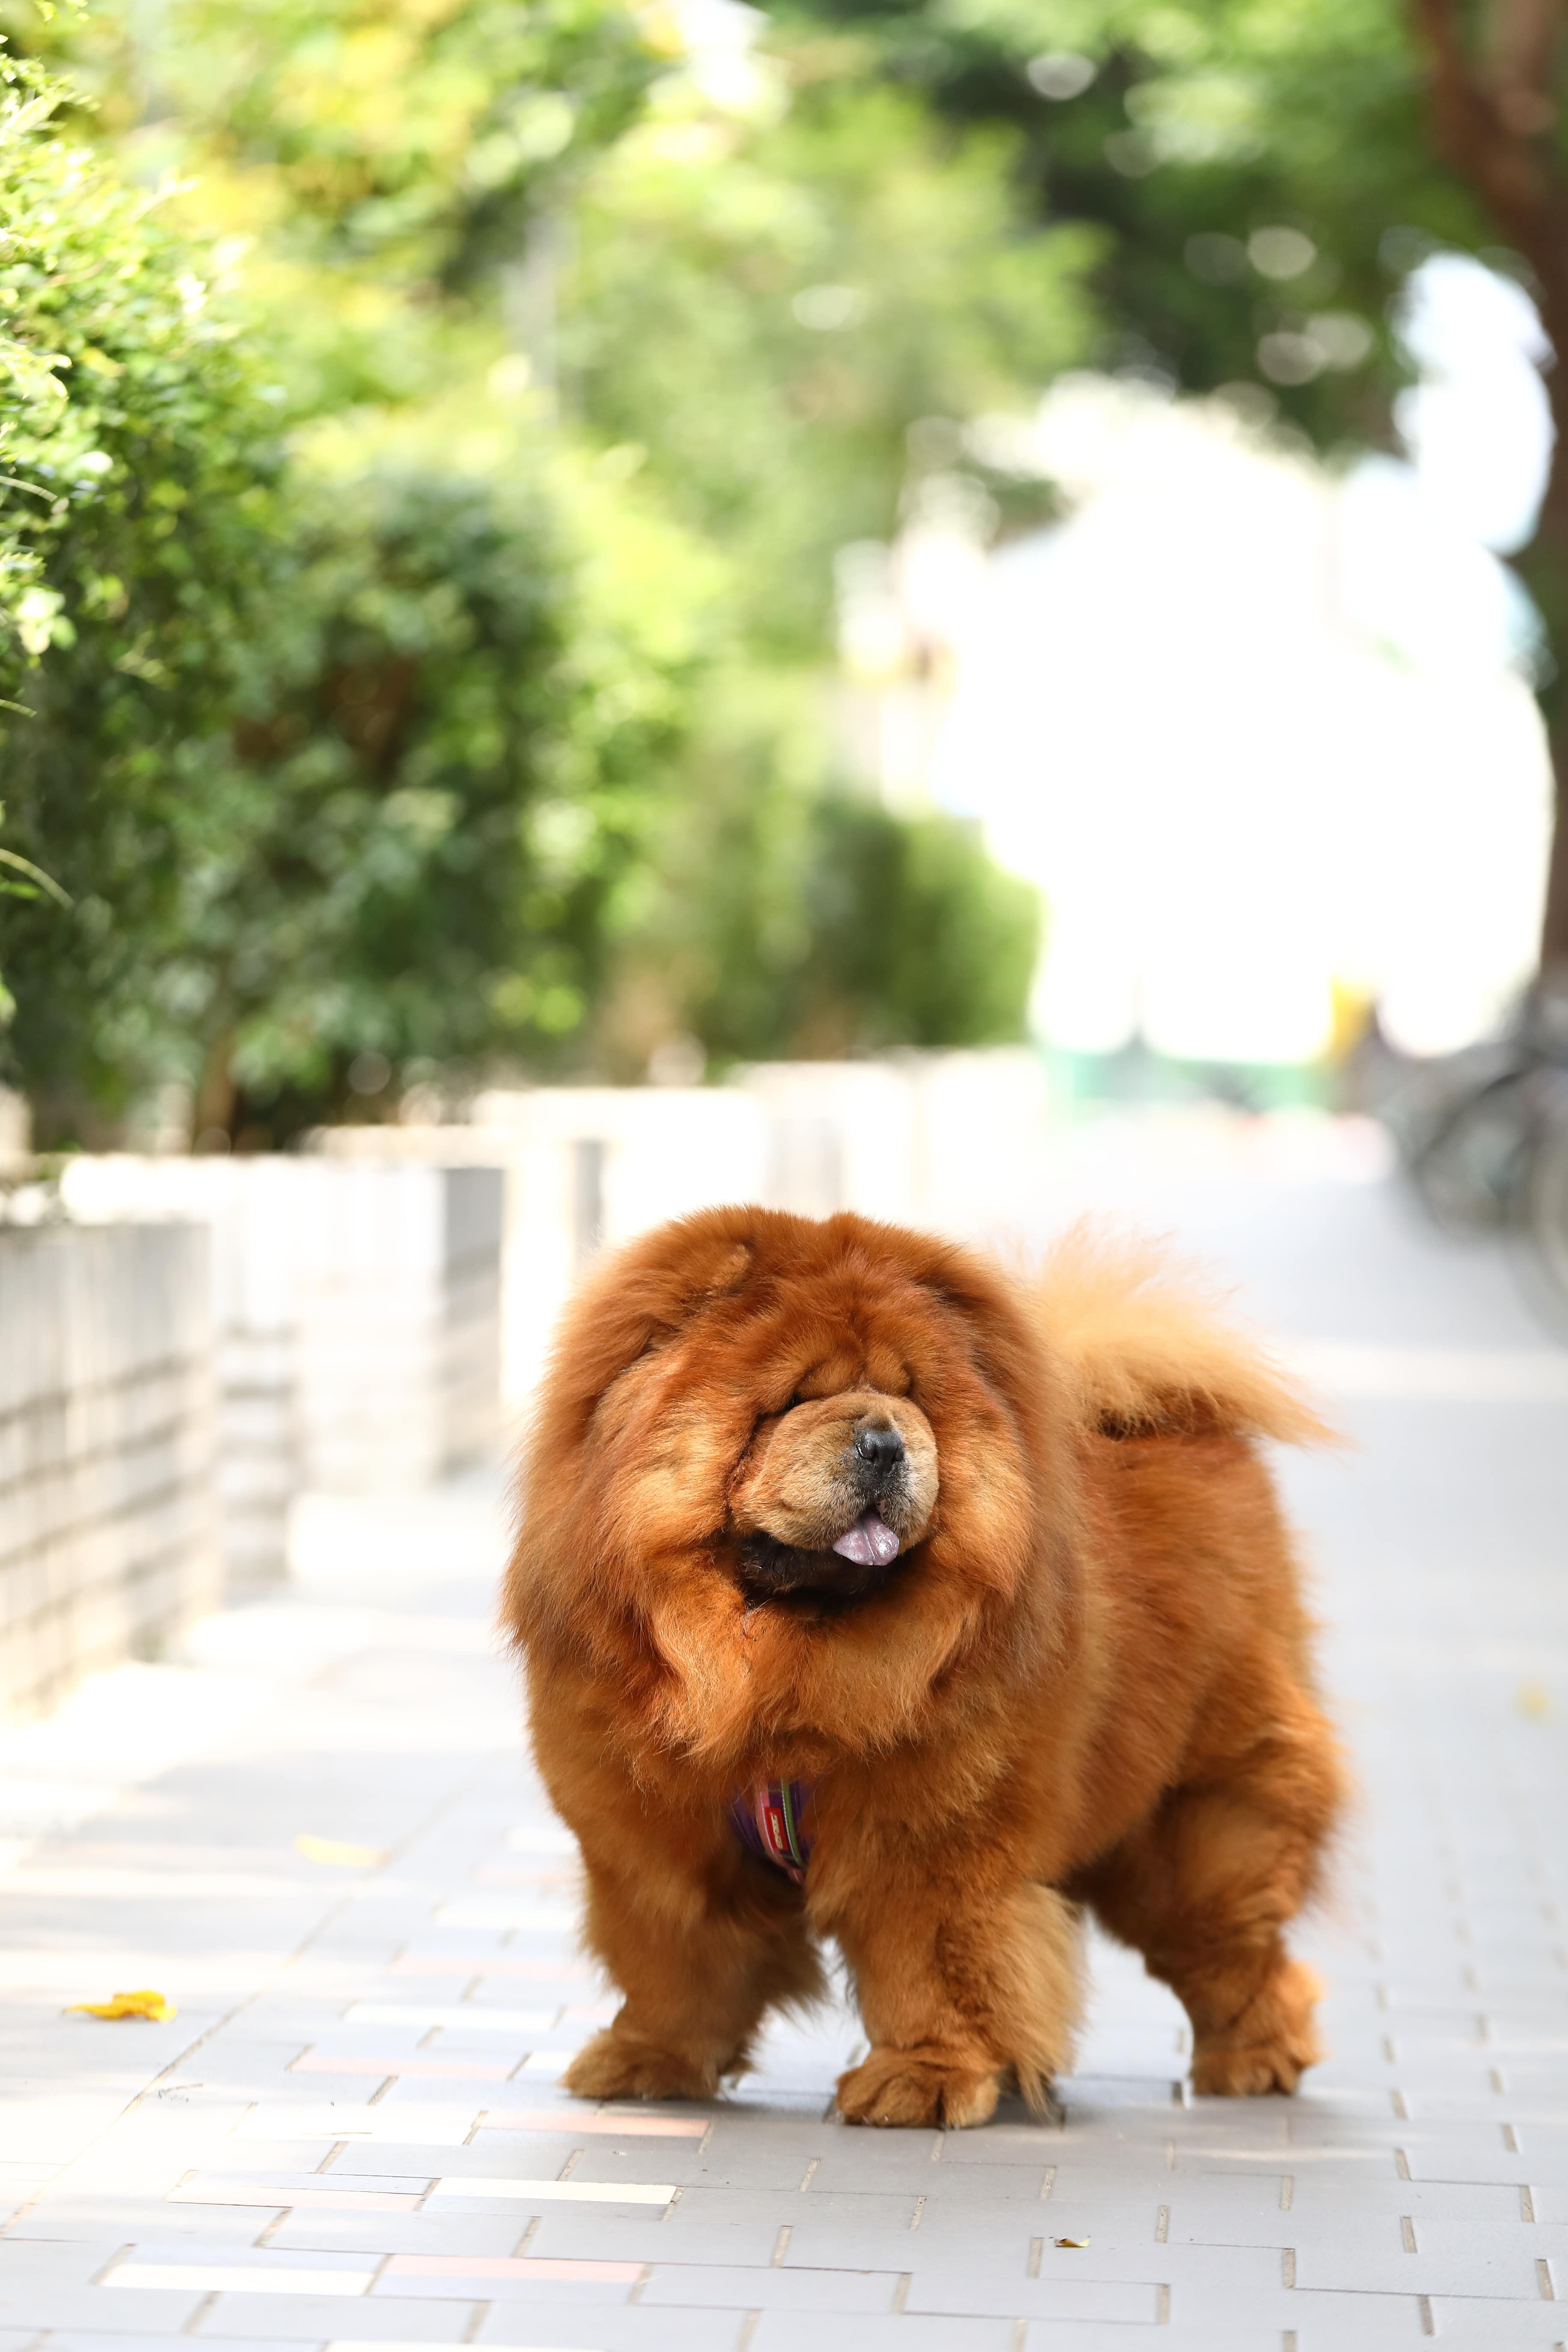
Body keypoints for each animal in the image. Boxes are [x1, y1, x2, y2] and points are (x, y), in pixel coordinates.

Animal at [510, 1213, 1344, 2135]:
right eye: (793, 1399)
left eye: (909, 1394)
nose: (883, 1439)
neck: (777, 1677)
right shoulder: (655, 1834)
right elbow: (673, 1961)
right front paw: (648, 2062)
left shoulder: (929, 1840)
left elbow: (932, 1964)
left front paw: (922, 2079)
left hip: (1195, 1825)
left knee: (1235, 1947)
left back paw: (1254, 2062)